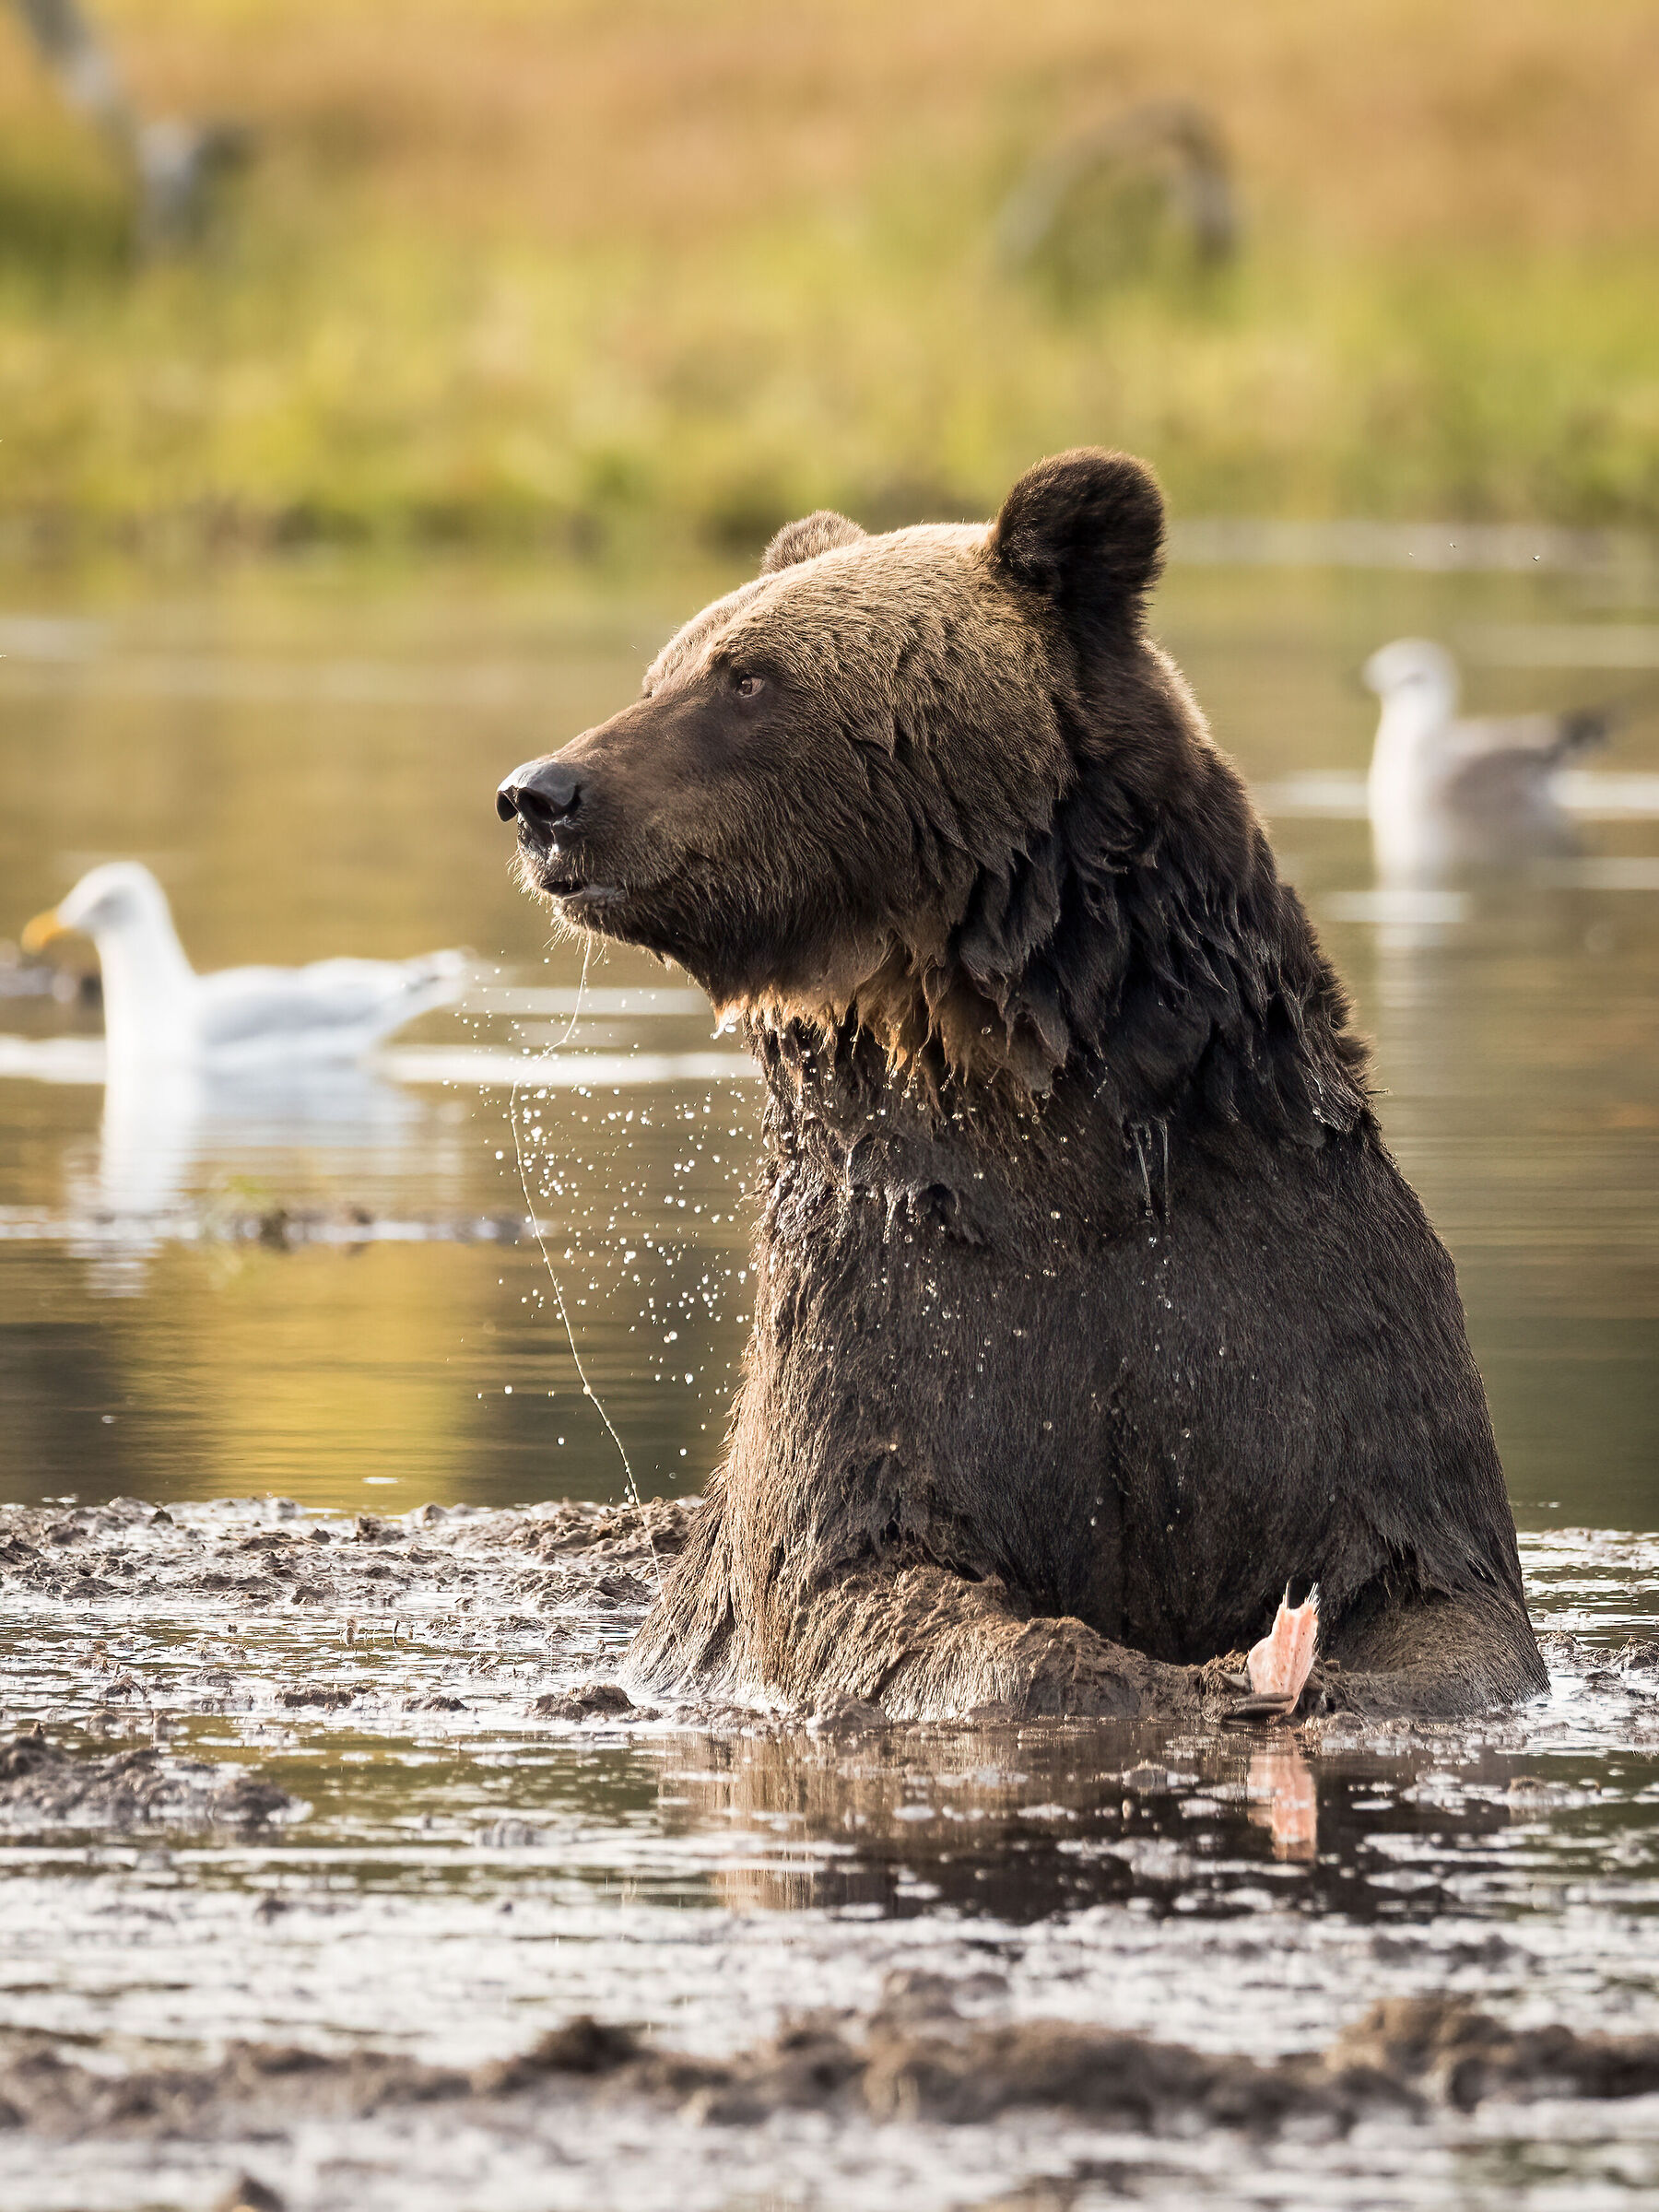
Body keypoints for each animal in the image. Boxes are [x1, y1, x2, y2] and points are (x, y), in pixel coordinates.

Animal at [496, 449, 1547, 1723]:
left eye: (745, 677)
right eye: (668, 667)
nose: (541, 794)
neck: (1042, 1116)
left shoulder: (1289, 1299)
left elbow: (1431, 1585)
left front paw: (1303, 1673)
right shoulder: (889, 1316)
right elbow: (862, 1568)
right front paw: (1113, 1672)